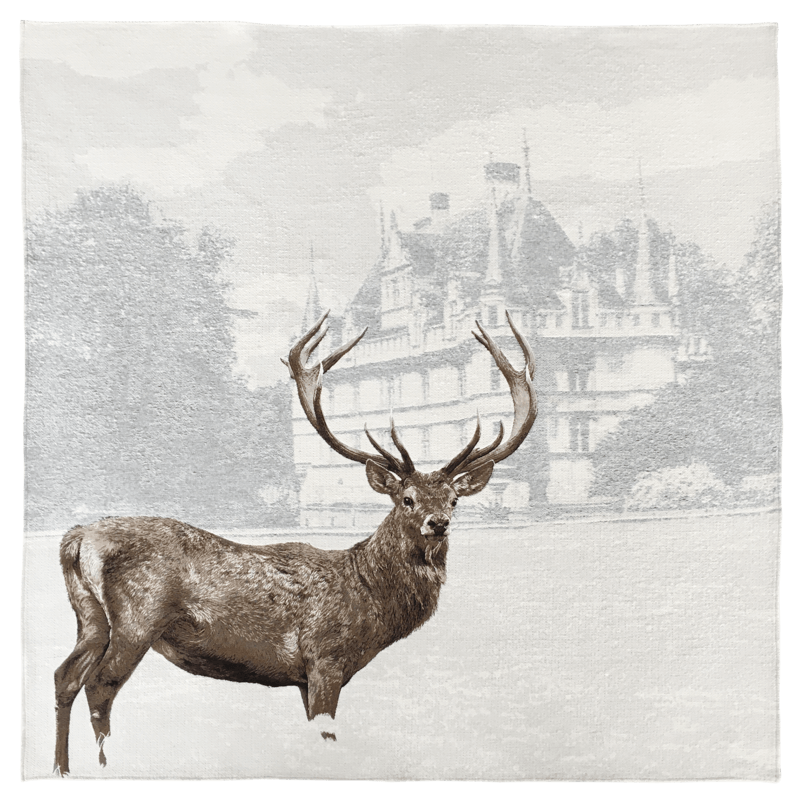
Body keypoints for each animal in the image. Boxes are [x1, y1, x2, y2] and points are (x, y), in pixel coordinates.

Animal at [53, 309, 536, 776]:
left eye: (454, 499)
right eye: (407, 498)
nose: (438, 523)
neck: (371, 602)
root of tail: (76, 538)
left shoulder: (305, 675)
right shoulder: (324, 659)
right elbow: (326, 733)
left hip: (89, 618)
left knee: (64, 677)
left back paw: (62, 768)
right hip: (137, 617)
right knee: (100, 686)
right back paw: (104, 766)